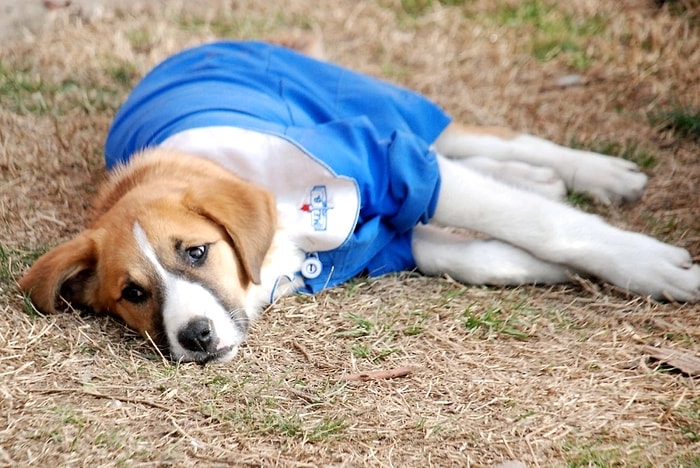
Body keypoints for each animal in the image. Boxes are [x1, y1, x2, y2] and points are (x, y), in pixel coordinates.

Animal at [19, 40, 696, 364]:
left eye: (196, 252)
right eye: (132, 294)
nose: (197, 337)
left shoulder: (389, 164)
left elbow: (535, 223)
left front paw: (649, 266)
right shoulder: (379, 244)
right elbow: (477, 254)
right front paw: (548, 269)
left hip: (379, 105)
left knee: (480, 139)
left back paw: (603, 175)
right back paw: (537, 178)